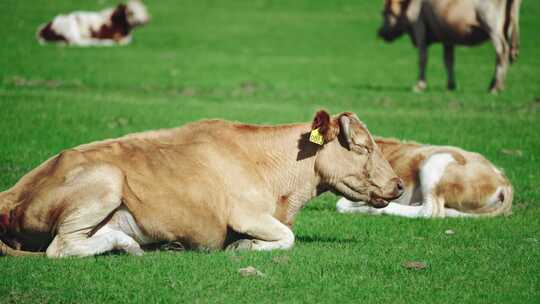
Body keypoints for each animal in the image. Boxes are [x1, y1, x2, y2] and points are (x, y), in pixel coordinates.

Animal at [0, 110, 402, 258]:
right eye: (362, 146)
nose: (398, 185)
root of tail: (10, 195)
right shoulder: (247, 213)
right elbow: (287, 238)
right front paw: (243, 246)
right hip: (107, 179)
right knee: (61, 247)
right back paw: (128, 245)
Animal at [378, 0, 520, 93]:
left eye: (385, 12)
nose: (379, 33)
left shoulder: (420, 28)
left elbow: (423, 59)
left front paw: (419, 85)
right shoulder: (447, 36)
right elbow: (448, 61)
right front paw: (450, 85)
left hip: (492, 26)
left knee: (501, 52)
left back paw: (495, 87)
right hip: (507, 28)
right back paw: (497, 85)